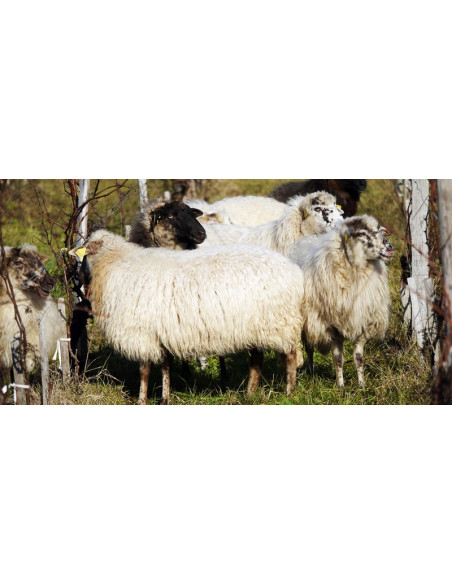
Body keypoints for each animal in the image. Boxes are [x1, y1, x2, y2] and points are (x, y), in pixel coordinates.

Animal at [76, 230, 306, 404]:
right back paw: (250, 394)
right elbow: (166, 366)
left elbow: (144, 370)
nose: (77, 277)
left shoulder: (141, 334)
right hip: (257, 326)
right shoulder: (161, 333)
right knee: (257, 360)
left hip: (280, 323)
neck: (113, 263)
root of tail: (294, 271)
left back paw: (289, 393)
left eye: (85, 255)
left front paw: (142, 400)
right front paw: (165, 398)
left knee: (291, 357)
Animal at [288, 214, 394, 388]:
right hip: (308, 322)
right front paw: (341, 386)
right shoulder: (331, 327)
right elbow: (338, 359)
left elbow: (359, 358)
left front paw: (362, 385)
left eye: (379, 230)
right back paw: (311, 372)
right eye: (361, 233)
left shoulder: (363, 323)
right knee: (309, 348)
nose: (390, 248)